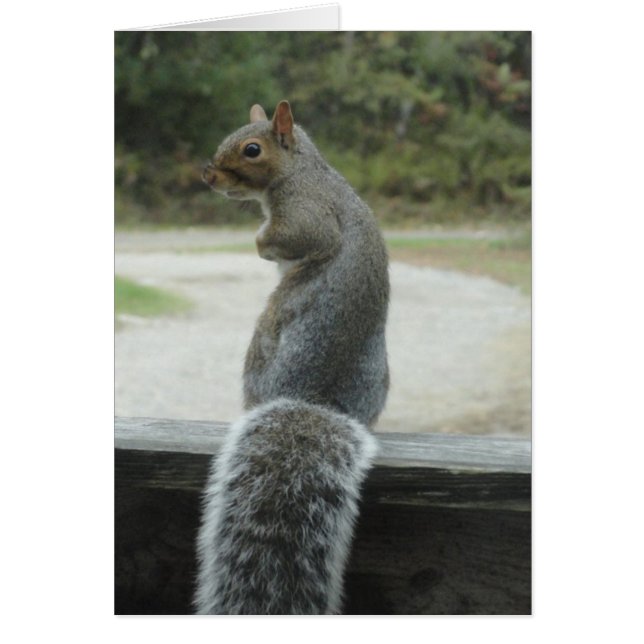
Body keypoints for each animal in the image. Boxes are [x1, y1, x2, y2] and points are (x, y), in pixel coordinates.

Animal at [195, 101, 389, 615]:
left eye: (252, 149)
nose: (208, 175)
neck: (302, 168)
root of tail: (313, 397)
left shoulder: (306, 212)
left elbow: (299, 238)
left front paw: (261, 242)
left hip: (262, 344)